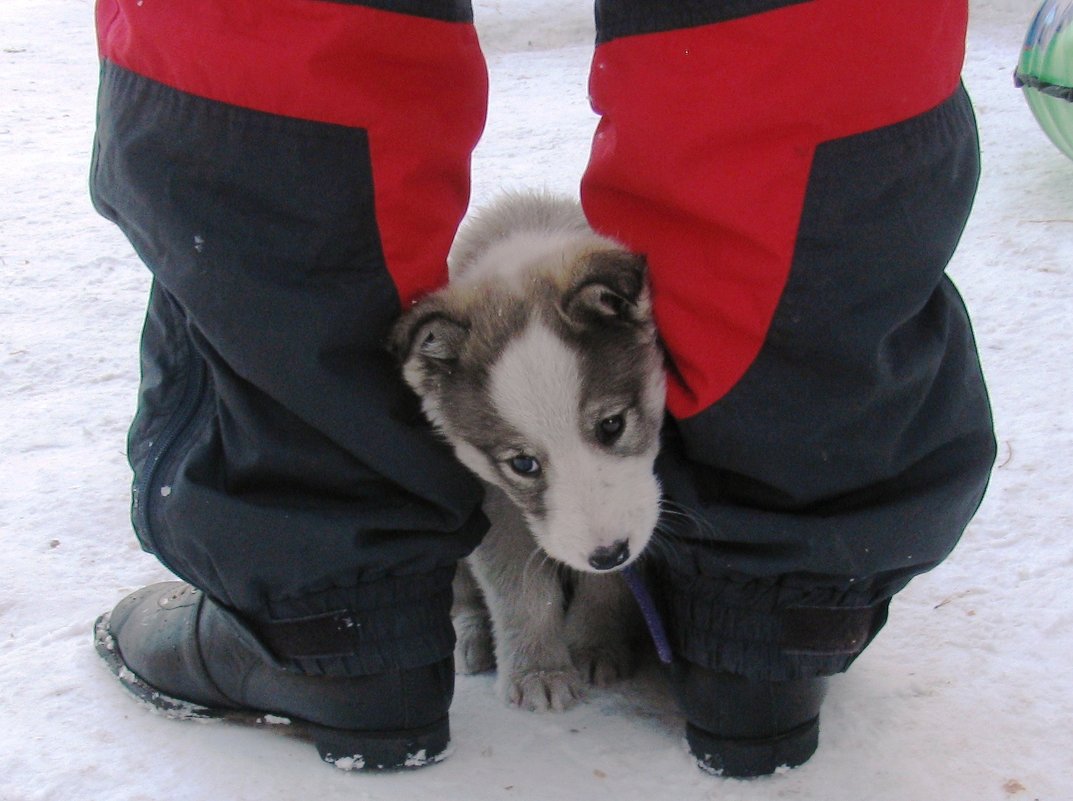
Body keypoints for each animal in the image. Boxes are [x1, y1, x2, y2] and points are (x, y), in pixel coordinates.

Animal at [390, 194, 665, 716]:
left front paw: (595, 644)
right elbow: (519, 589)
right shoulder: (493, 501)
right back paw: (469, 635)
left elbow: (611, 584)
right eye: (522, 464)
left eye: (612, 425)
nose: (608, 553)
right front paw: (539, 672)